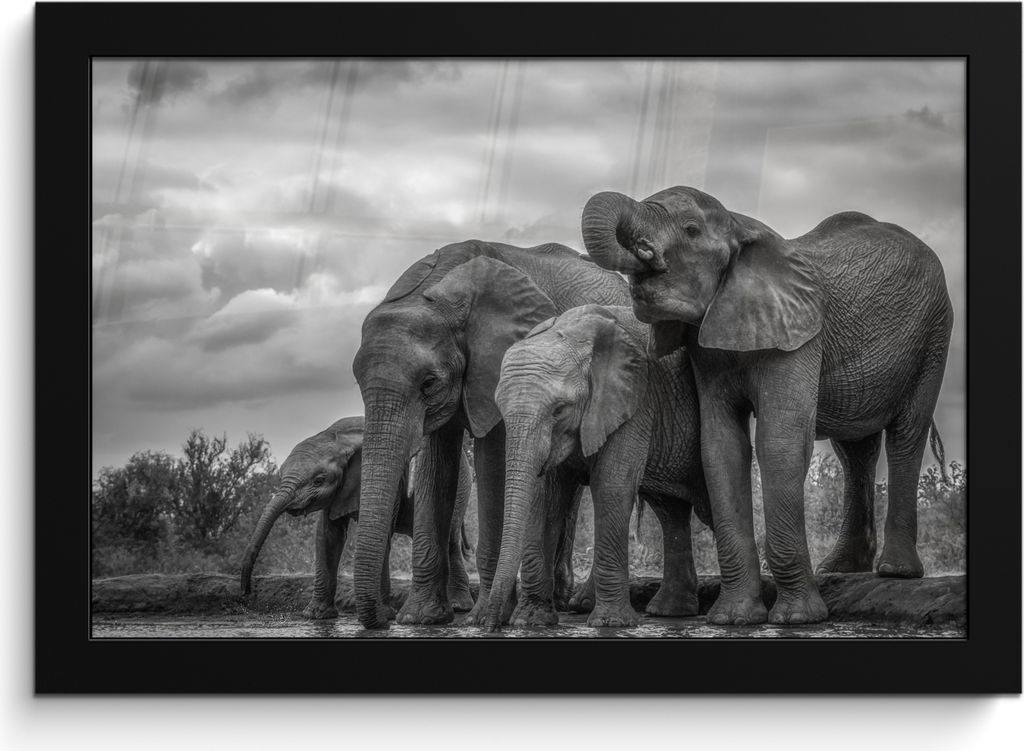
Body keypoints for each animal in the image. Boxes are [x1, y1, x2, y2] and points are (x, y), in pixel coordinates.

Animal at [239, 416, 474, 619]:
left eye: (318, 480)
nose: (245, 593)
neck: (336, 437)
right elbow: (328, 535)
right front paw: (315, 616)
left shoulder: (395, 481)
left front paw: (384, 614)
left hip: (460, 484)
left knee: (450, 540)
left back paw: (458, 606)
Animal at [351, 240, 630, 629]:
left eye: (428, 383)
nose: (383, 614)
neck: (437, 292)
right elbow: (436, 470)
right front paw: (419, 618)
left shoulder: (499, 364)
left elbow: (494, 467)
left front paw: (482, 616)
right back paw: (561, 602)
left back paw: (579, 605)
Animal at [487, 304, 711, 629]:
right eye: (501, 410)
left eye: (559, 410)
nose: (490, 625)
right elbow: (545, 496)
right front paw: (531, 622)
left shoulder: (636, 399)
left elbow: (611, 484)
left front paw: (610, 623)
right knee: (670, 511)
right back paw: (670, 611)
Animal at [582, 186, 953, 625]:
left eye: (690, 230)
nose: (644, 252)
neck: (740, 225)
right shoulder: (708, 351)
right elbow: (721, 449)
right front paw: (733, 619)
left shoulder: (801, 334)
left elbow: (780, 442)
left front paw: (797, 619)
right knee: (855, 449)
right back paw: (841, 568)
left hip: (935, 333)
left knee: (906, 434)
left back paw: (895, 571)